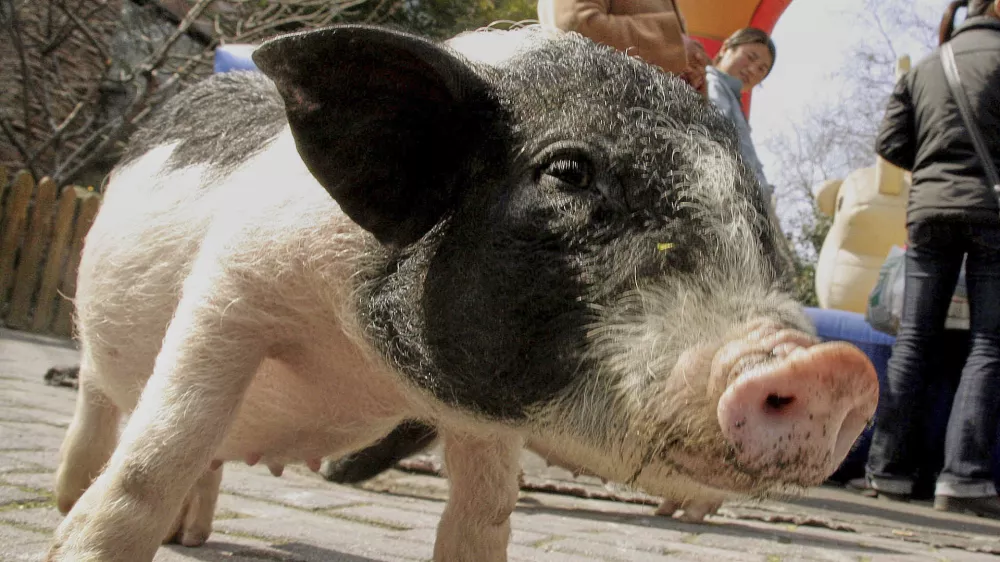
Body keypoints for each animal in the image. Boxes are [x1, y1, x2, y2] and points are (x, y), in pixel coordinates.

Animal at [48, 22, 879, 562]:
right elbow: (161, 447)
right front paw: (75, 549)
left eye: (756, 208)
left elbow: (486, 513)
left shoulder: (485, 412)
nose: (831, 368)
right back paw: (69, 503)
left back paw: (192, 537)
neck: (360, 361)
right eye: (567, 171)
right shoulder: (231, 285)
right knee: (106, 409)